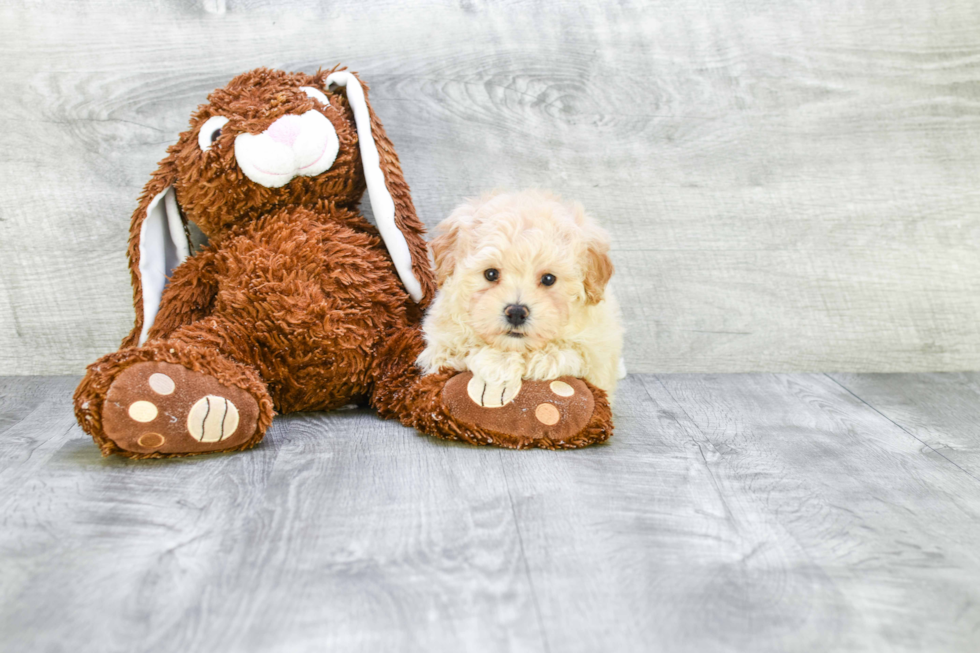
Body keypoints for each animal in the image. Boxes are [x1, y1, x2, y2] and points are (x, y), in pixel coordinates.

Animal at [418, 187, 624, 402]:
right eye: (491, 274)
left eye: (548, 279)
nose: (516, 313)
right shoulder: (440, 344)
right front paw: (495, 361)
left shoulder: (595, 350)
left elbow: (564, 354)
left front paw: (512, 362)